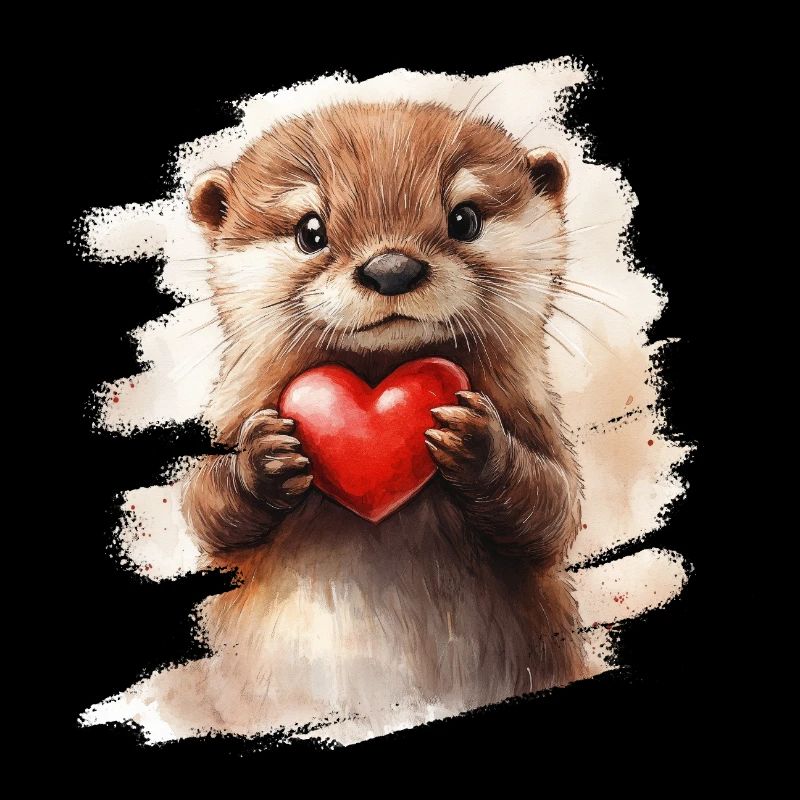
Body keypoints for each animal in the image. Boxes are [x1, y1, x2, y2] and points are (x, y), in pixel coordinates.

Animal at [181, 100, 586, 737]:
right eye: (311, 230)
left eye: (465, 218)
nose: (391, 268)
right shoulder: (229, 415)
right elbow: (204, 508)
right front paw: (264, 460)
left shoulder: (538, 418)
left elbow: (553, 510)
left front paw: (475, 442)